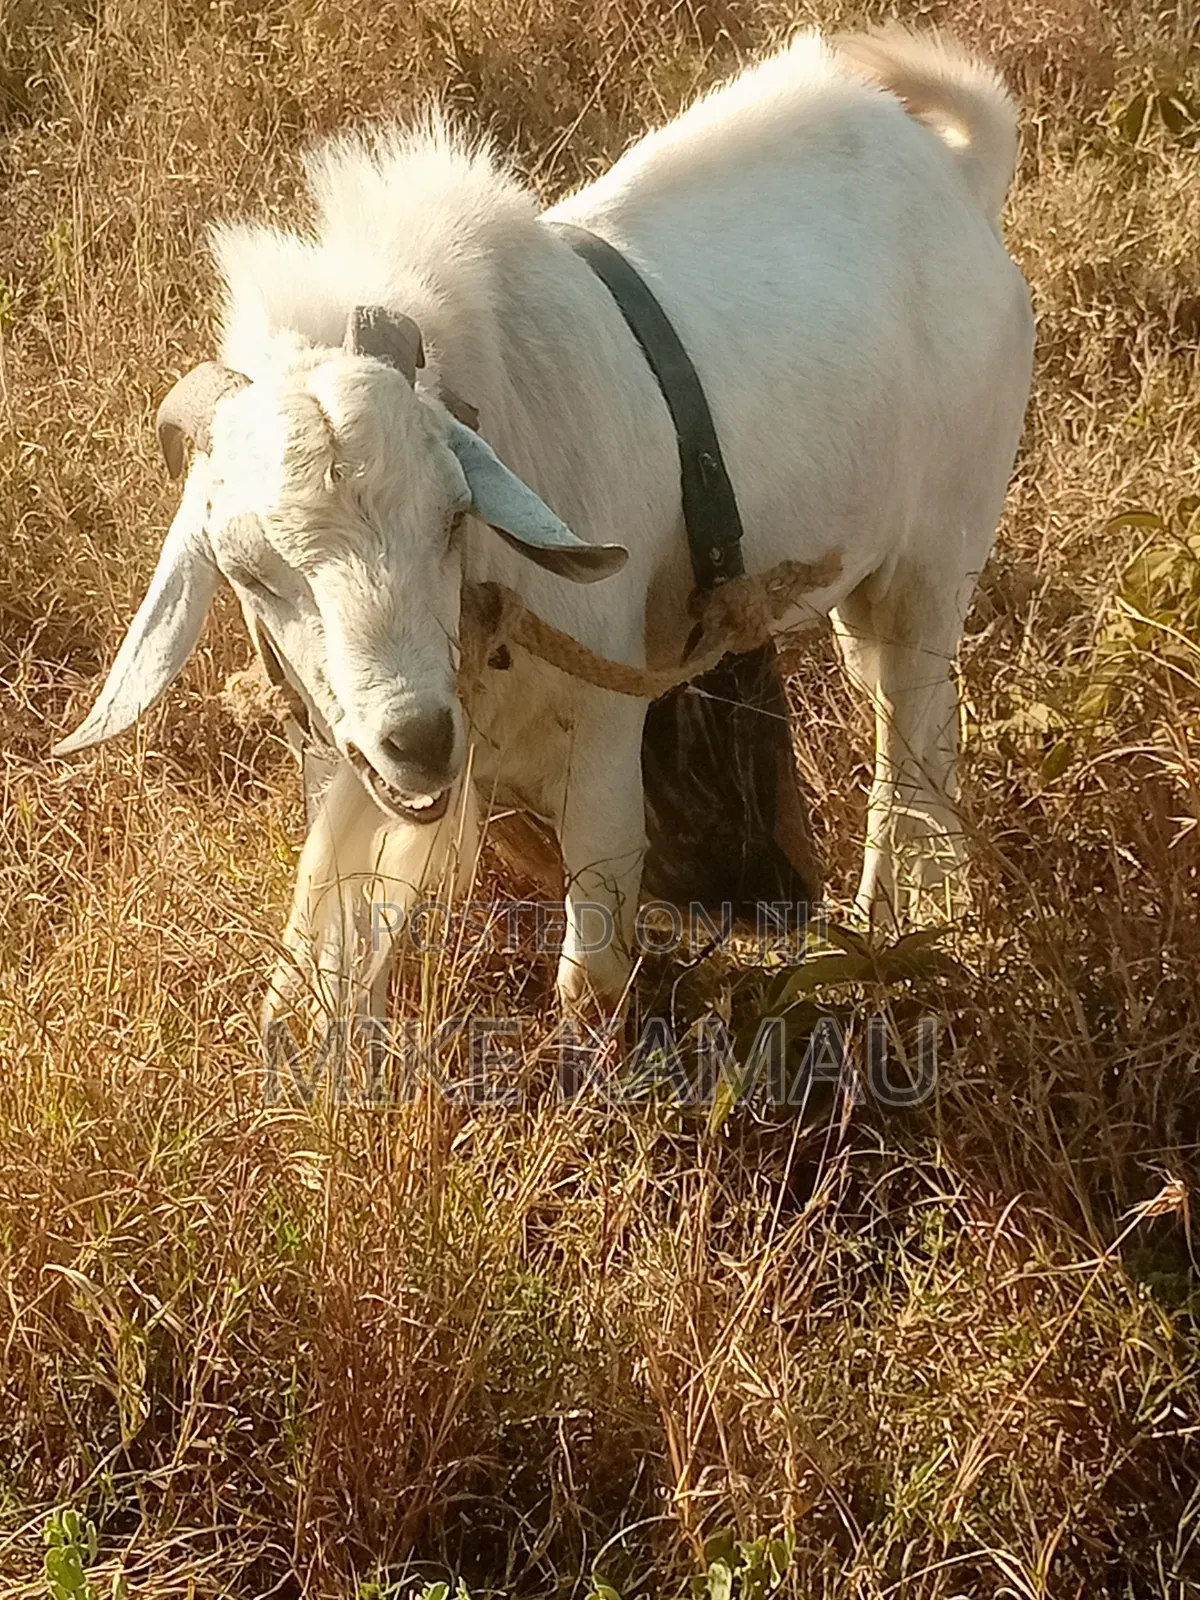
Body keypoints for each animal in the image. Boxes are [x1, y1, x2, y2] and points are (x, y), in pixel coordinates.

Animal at [54, 27, 1034, 1024]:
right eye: (249, 571)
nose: (418, 740)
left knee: (912, 741)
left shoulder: (606, 725)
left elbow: (591, 959)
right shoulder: (352, 765)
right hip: (863, 594)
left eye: (453, 516)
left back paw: (898, 930)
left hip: (937, 560)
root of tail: (959, 176)